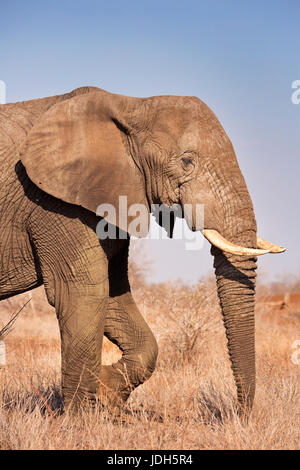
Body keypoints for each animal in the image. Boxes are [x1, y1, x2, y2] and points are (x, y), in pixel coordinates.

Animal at [0, 85, 284, 414]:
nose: (239, 414)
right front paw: (80, 418)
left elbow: (113, 294)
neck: (131, 105)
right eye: (187, 162)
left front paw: (106, 392)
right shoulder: (54, 204)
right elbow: (82, 293)